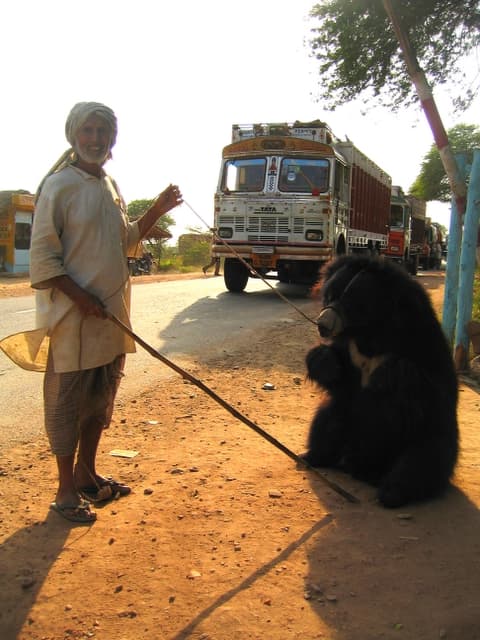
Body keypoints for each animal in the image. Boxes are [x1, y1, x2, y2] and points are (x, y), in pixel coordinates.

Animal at [302, 255, 459, 508]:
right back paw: (314, 457)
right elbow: (340, 378)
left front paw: (389, 374)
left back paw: (391, 493)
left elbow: (431, 391)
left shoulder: (424, 342)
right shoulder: (351, 349)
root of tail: (359, 465)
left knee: (422, 461)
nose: (322, 324)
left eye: (351, 304)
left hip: (427, 439)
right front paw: (322, 359)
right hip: (345, 420)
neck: (371, 331)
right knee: (326, 418)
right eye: (330, 295)